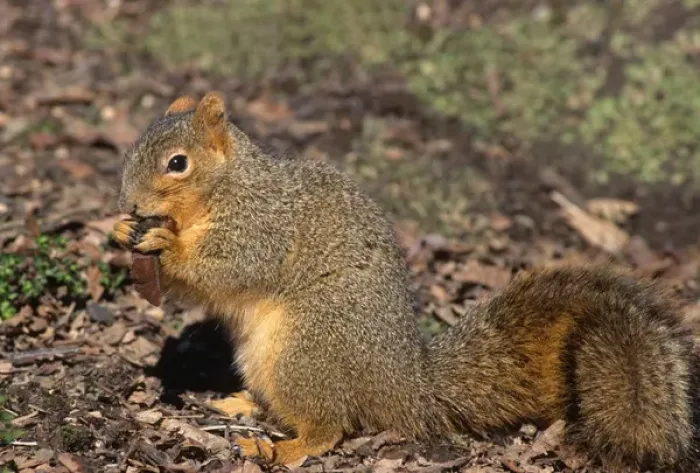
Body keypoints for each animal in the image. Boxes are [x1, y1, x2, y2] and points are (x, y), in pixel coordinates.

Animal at [112, 92, 699, 472]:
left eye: (178, 163)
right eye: (131, 151)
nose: (130, 204)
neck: (226, 188)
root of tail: (405, 387)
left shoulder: (263, 227)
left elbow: (233, 266)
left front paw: (165, 246)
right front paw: (120, 231)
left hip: (309, 346)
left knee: (330, 425)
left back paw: (284, 449)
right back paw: (243, 406)